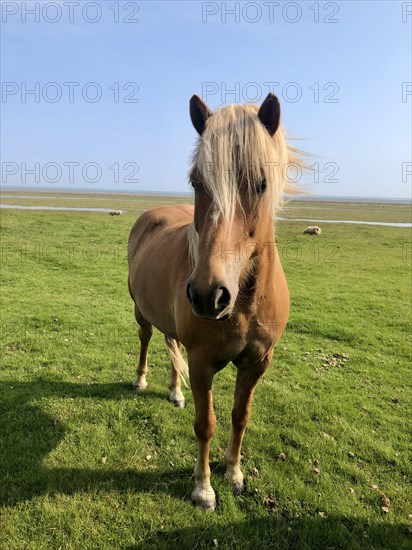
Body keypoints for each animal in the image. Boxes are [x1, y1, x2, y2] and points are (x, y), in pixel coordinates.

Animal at [127, 92, 304, 512]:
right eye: (196, 181)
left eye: (261, 184)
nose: (209, 295)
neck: (244, 304)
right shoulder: (202, 362)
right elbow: (205, 423)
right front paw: (203, 487)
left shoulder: (257, 362)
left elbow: (241, 416)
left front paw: (234, 473)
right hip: (141, 313)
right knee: (145, 340)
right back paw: (142, 380)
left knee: (170, 344)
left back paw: (175, 392)